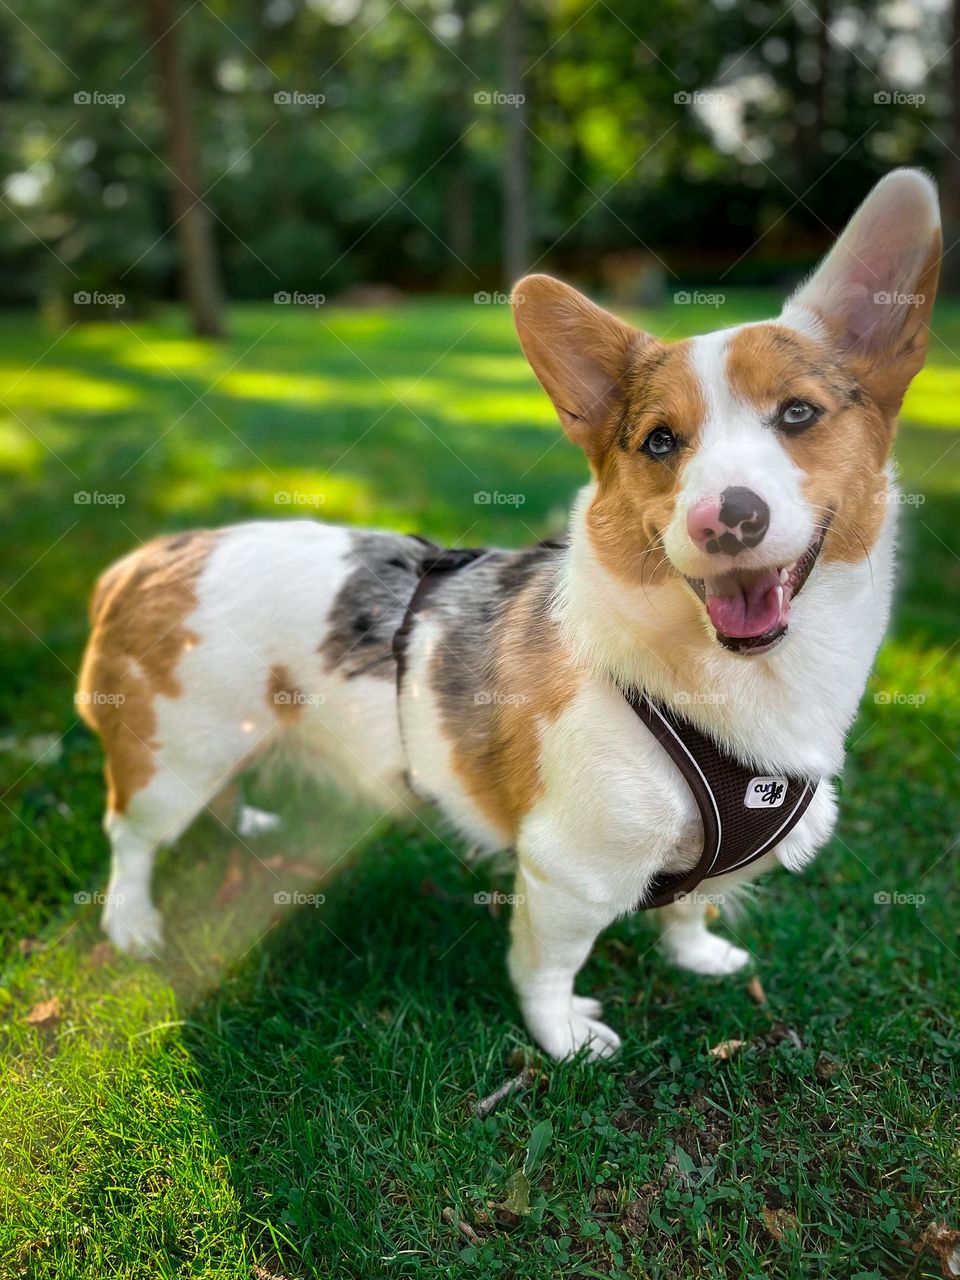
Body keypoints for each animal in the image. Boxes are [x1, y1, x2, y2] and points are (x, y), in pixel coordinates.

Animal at [80, 175, 942, 1064]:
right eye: (659, 442)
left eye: (799, 415)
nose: (725, 519)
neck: (740, 680)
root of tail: (157, 556)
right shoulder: (569, 873)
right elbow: (549, 968)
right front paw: (565, 1039)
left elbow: (686, 907)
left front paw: (699, 956)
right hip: (171, 761)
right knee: (130, 838)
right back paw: (132, 922)